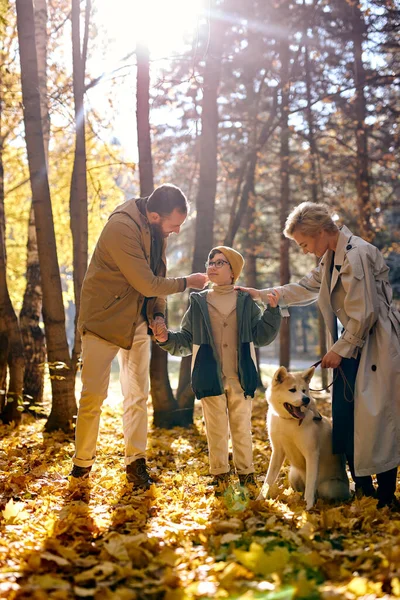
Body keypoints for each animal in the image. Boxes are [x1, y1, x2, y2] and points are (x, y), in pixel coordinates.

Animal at [260, 364, 350, 508]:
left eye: (304, 390)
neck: (289, 421)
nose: (306, 399)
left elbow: (310, 484)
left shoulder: (312, 453)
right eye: (292, 390)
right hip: (293, 474)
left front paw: (308, 507)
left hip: (328, 487)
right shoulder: (277, 451)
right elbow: (268, 480)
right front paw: (258, 500)